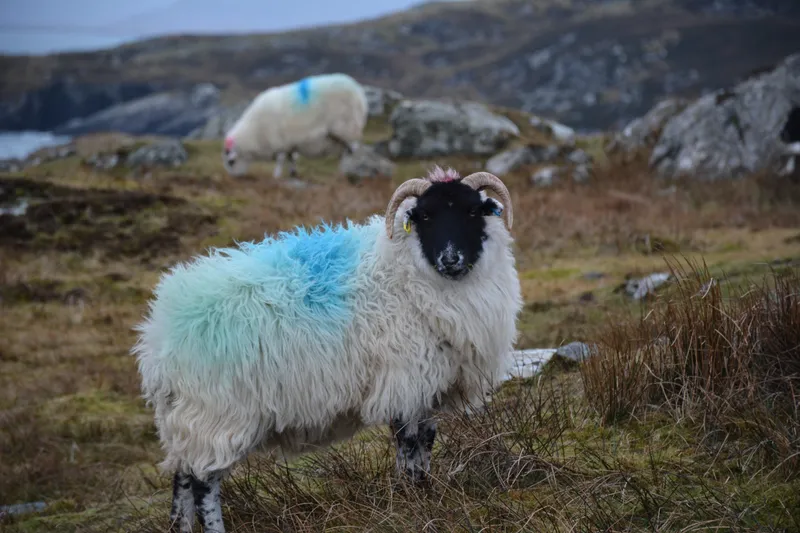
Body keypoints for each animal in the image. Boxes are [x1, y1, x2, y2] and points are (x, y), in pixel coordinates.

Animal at [132, 166, 523, 532]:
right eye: (424, 216)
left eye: (473, 211)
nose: (450, 259)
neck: (403, 271)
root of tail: (158, 337)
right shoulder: (403, 380)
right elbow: (408, 443)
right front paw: (413, 497)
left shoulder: (428, 383)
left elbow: (425, 440)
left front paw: (426, 493)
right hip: (216, 412)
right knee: (203, 483)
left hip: (185, 418)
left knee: (182, 476)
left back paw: (180, 527)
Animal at [222, 73, 369, 179]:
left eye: (230, 162)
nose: (233, 178)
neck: (254, 132)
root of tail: (359, 92)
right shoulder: (289, 143)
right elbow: (291, 158)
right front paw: (293, 173)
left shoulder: (279, 141)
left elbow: (281, 159)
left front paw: (276, 175)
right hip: (339, 134)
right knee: (345, 150)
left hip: (347, 127)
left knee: (352, 149)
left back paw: (348, 169)